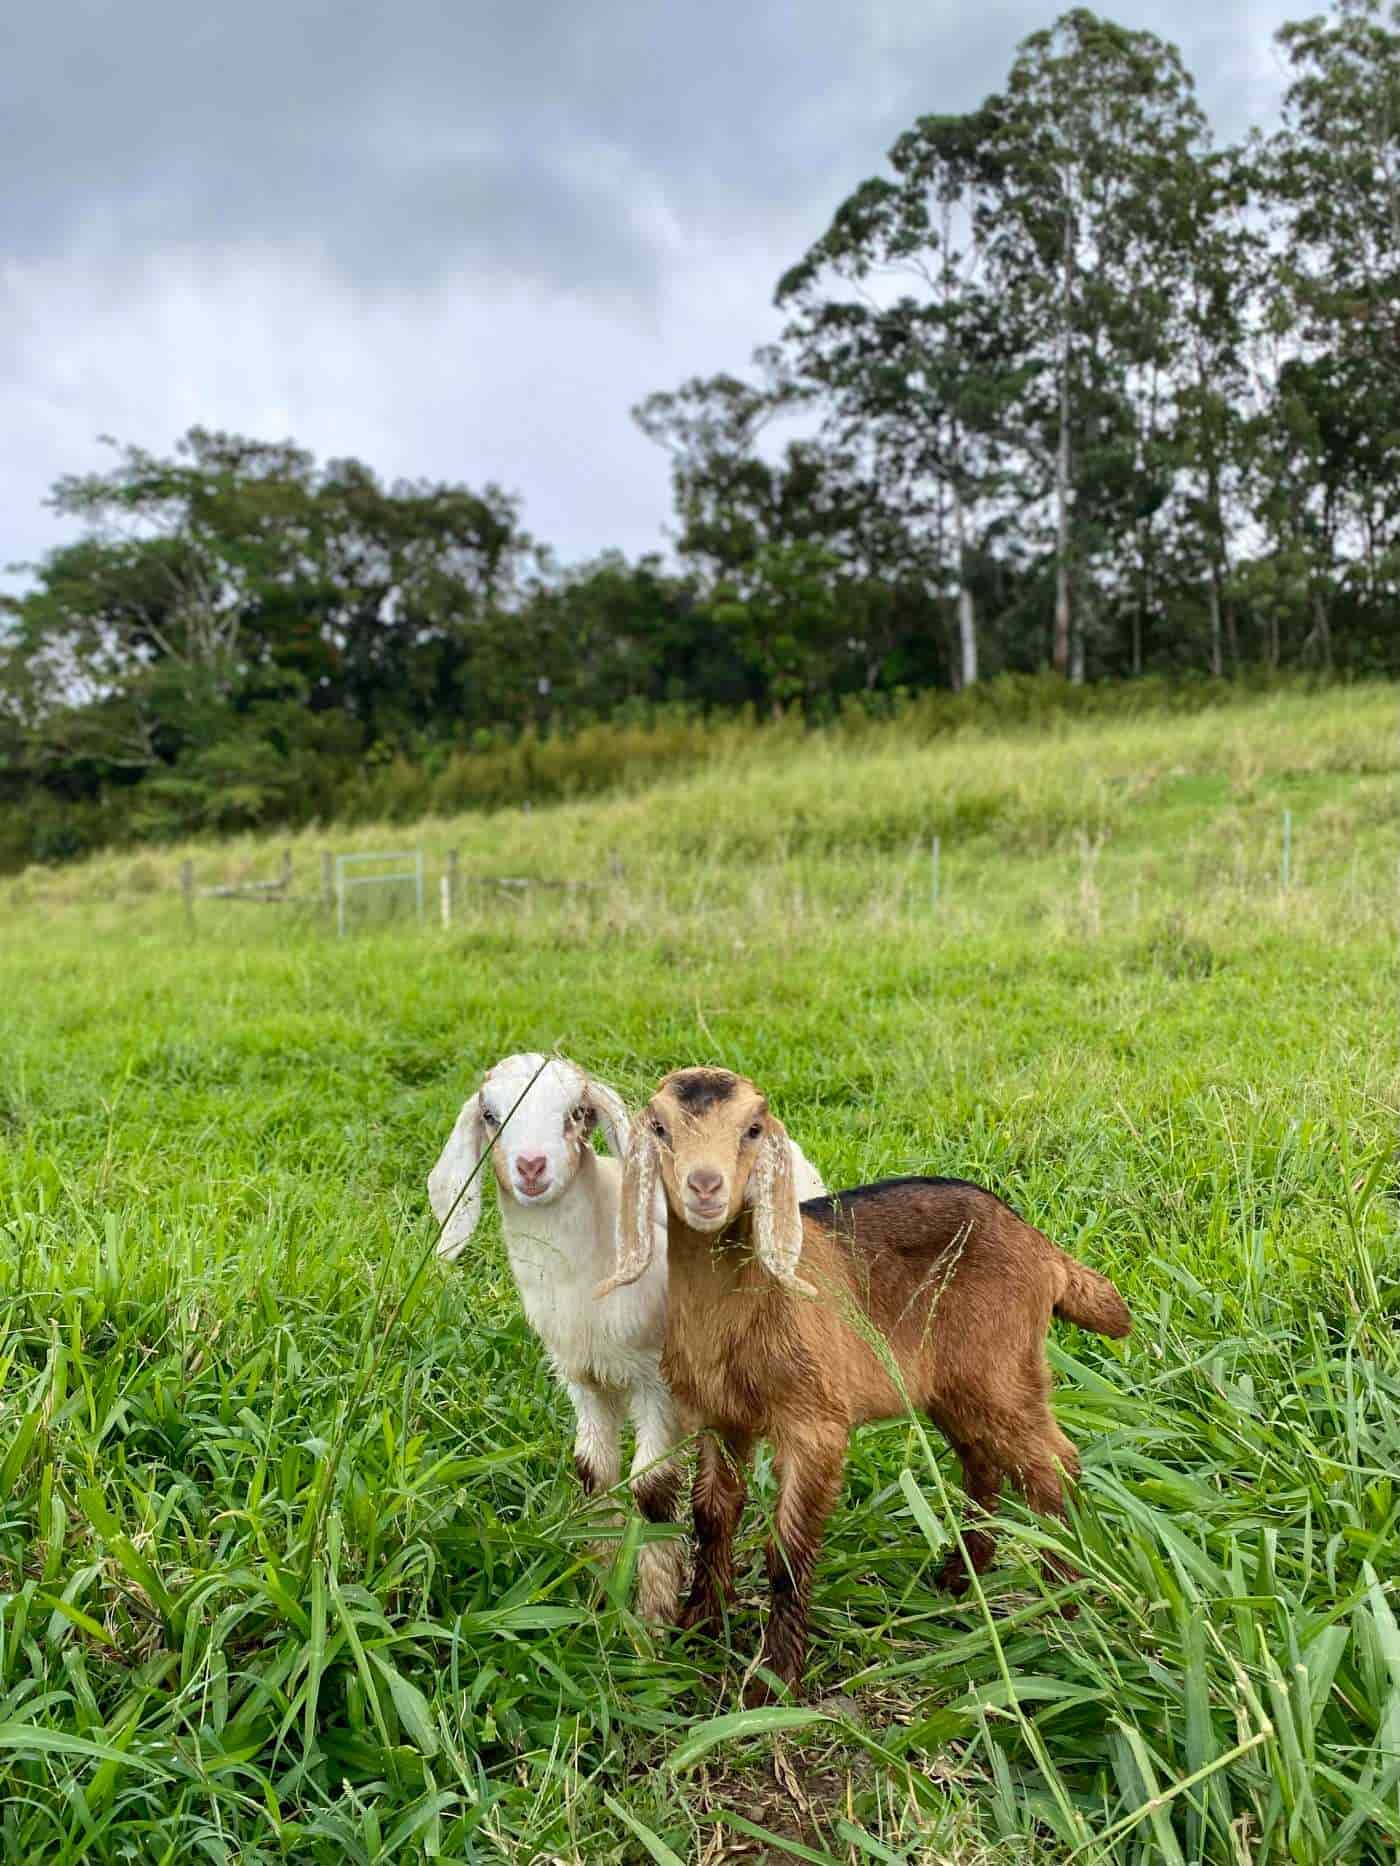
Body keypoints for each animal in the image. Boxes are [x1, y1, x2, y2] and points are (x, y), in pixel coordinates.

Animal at [429, 1052, 828, 1623]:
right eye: (489, 1114)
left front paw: (653, 1617)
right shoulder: (581, 1379)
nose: (531, 1167)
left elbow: (651, 1487)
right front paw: (599, 1590)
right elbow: (593, 1472)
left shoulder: (656, 1383)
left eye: (578, 1112)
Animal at [596, 1067, 1131, 1699]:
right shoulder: (719, 1418)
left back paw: (1063, 1607)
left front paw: (774, 1681)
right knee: (983, 1463)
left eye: (753, 1127)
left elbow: (788, 1550)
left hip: (1001, 1372)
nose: (706, 1186)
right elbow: (711, 1516)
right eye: (659, 1127)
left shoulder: (816, 1423)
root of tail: (1042, 1249)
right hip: (955, 1388)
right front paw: (698, 1626)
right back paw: (959, 1578)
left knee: (1054, 1466)